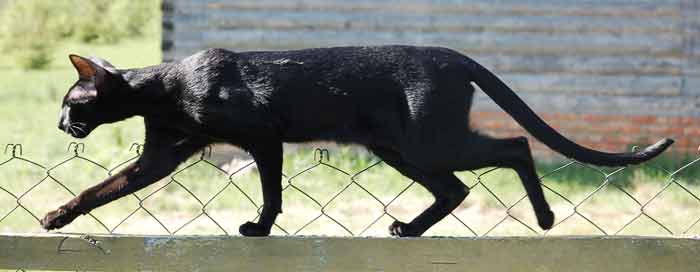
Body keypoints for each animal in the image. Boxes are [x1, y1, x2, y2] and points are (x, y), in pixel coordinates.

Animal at [41, 46, 676, 236]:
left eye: (72, 101)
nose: (61, 125)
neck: (165, 90)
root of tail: (454, 55)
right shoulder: (160, 159)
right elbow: (102, 189)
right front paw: (55, 216)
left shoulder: (263, 138)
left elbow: (271, 193)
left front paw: (259, 229)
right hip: (401, 150)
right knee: (457, 189)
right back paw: (409, 230)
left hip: (426, 144)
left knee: (515, 145)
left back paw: (544, 218)